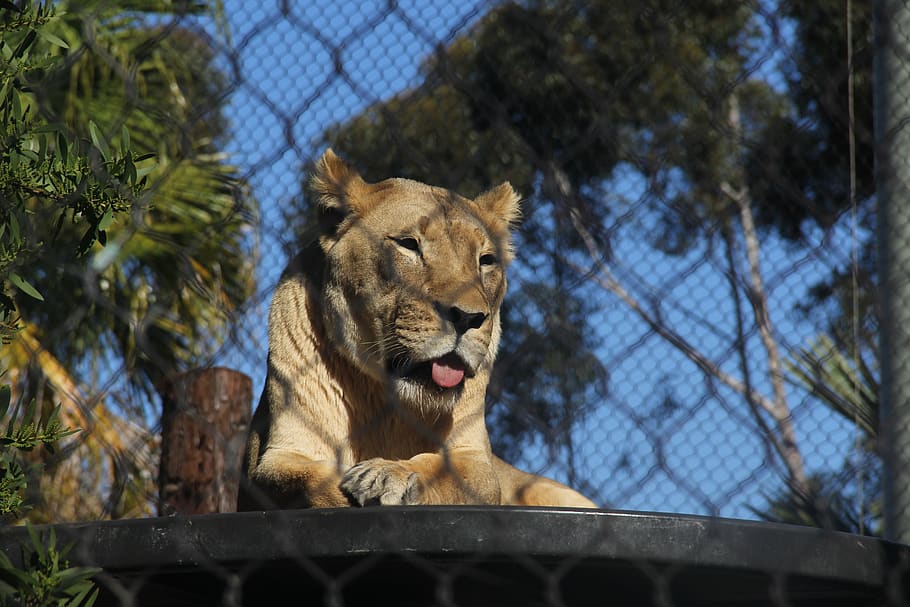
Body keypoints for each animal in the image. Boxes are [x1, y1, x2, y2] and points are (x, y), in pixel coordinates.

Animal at [237, 149, 596, 510]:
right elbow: (310, 481)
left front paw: (387, 474)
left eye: (486, 260)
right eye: (409, 244)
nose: (468, 318)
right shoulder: (277, 460)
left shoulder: (477, 461)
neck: (386, 404)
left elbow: (447, 471)